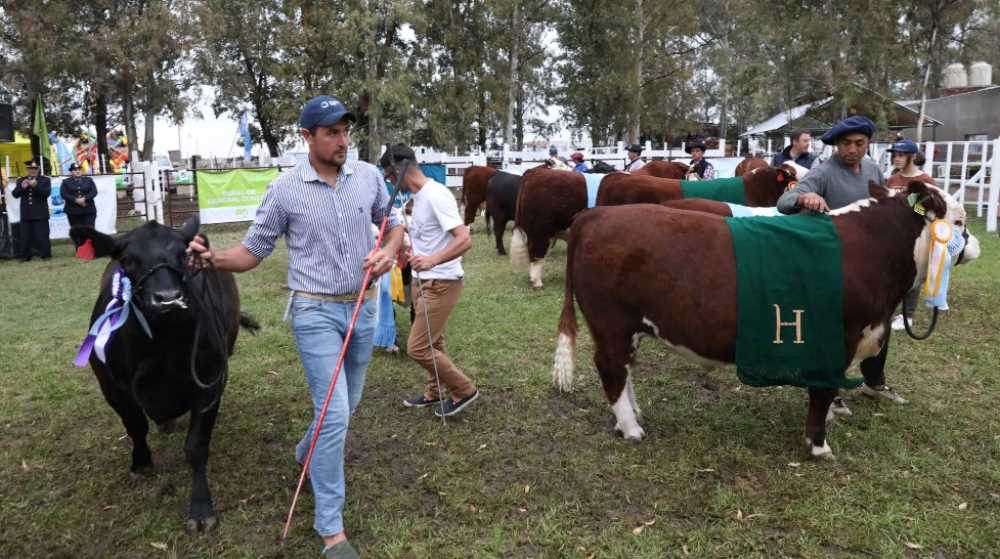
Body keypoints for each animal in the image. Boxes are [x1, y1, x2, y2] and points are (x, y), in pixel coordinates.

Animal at [71, 215, 258, 532]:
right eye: (127, 260)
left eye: (183, 255)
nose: (168, 299)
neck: (161, 343)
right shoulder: (112, 386)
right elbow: (135, 425)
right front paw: (141, 463)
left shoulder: (210, 381)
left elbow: (196, 446)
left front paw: (201, 509)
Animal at [556, 184, 984, 460]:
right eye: (960, 221)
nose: (976, 246)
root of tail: (596, 214)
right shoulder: (839, 336)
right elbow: (823, 390)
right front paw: (818, 446)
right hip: (611, 322)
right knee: (611, 369)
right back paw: (631, 429)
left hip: (629, 327)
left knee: (625, 370)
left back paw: (631, 416)